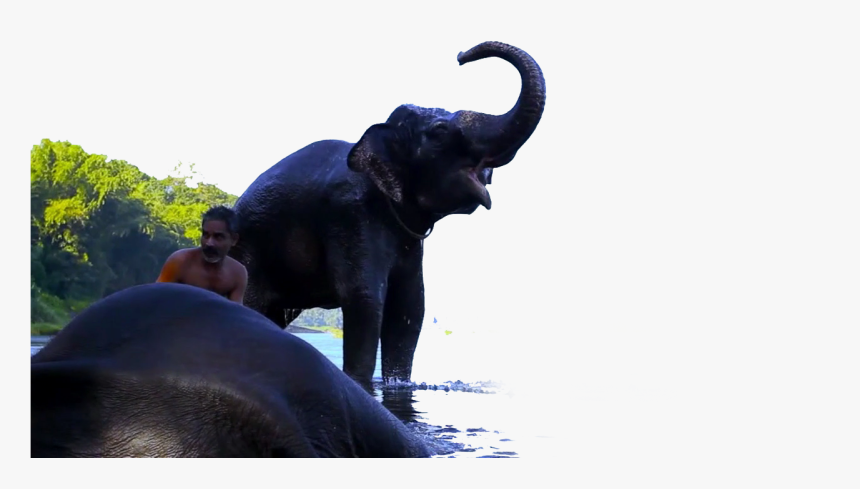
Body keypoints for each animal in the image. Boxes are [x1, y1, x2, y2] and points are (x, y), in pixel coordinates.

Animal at [229, 41, 546, 391]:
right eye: (439, 131)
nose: (461, 56)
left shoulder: (408, 238)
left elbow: (410, 308)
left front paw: (398, 383)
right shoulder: (350, 215)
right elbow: (365, 298)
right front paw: (360, 384)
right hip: (248, 252)